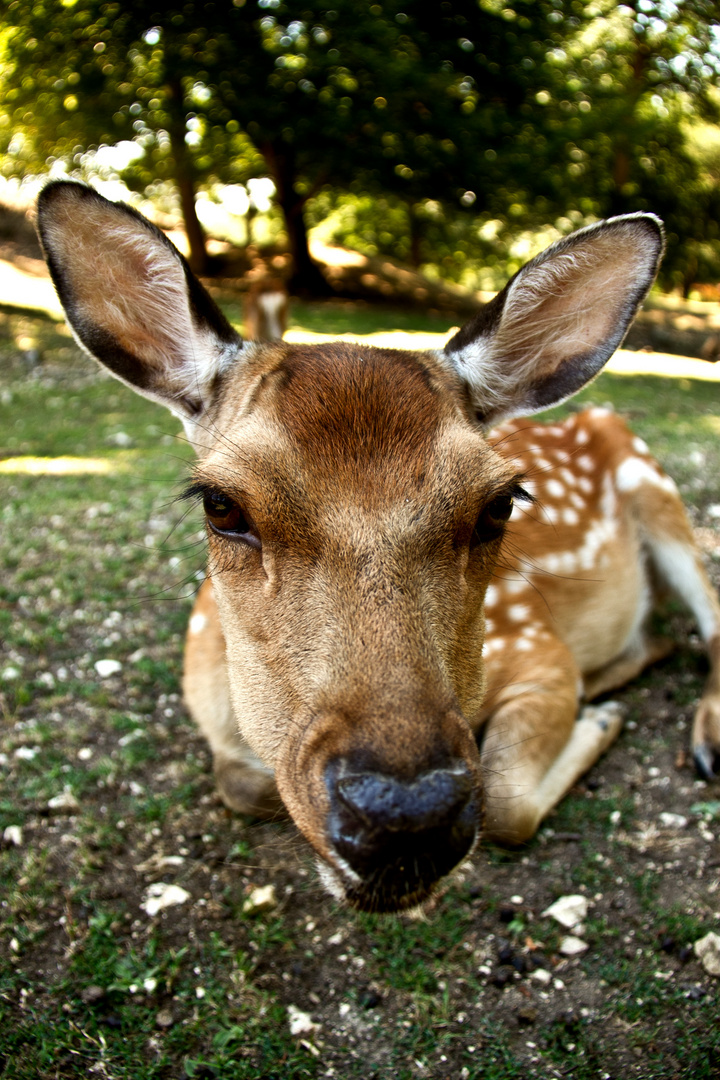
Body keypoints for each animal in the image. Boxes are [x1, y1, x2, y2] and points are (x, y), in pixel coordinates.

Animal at [38, 181, 720, 915]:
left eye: (500, 504)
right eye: (220, 504)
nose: (405, 817)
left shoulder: (538, 647)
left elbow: (506, 799)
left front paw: (596, 721)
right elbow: (244, 781)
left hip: (655, 486)